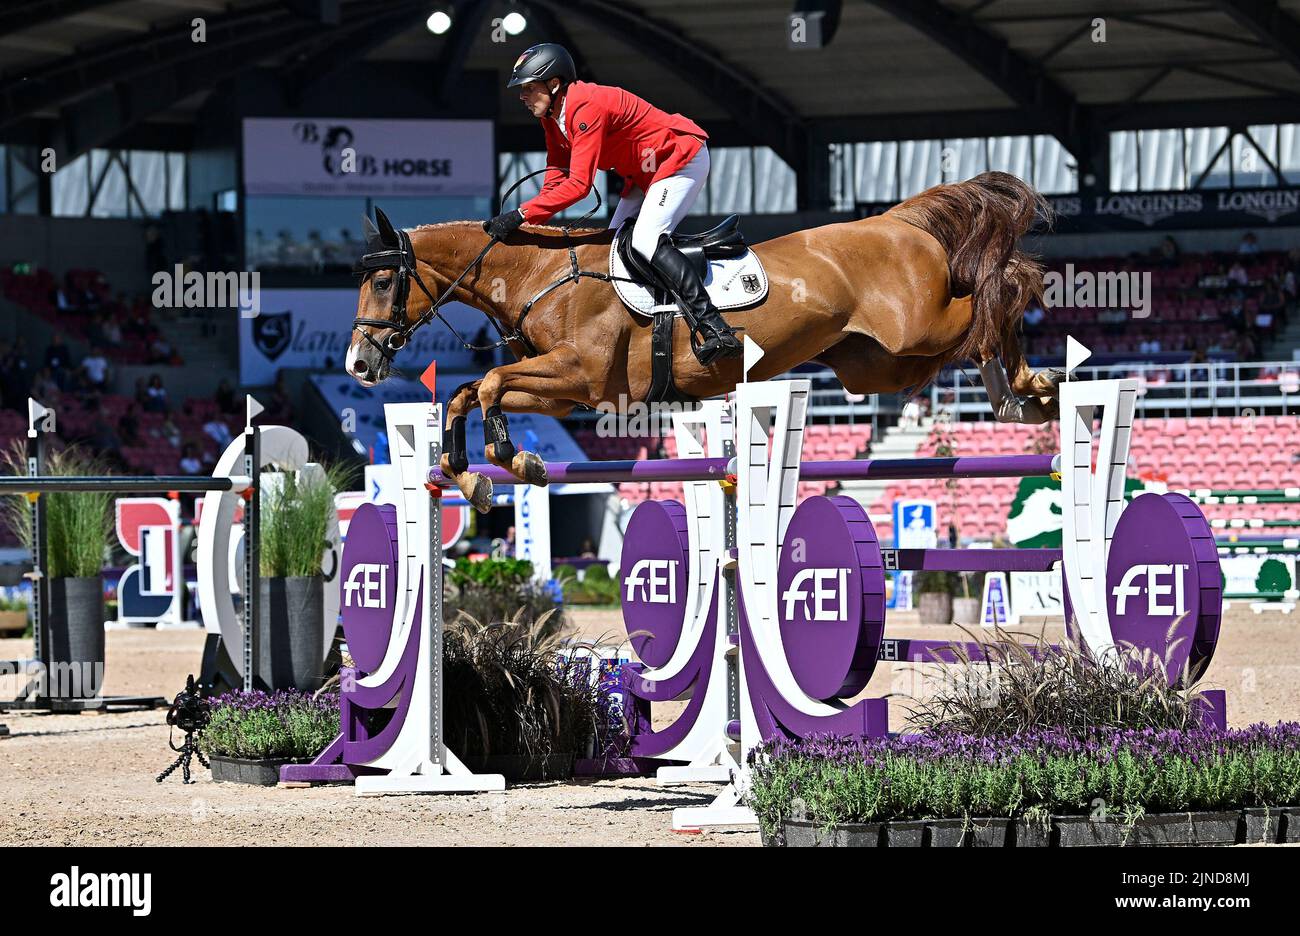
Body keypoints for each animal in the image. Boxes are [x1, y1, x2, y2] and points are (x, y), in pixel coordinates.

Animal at [351, 170, 1060, 512]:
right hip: (875, 363)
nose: (359, 364)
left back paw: (1033, 382)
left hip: (917, 321)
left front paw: (510, 458)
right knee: (960, 340)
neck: (540, 274)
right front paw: (474, 478)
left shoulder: (582, 379)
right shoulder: (563, 393)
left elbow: (490, 385)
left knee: (1001, 288)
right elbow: (467, 393)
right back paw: (1020, 392)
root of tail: (897, 221)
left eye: (383, 281)